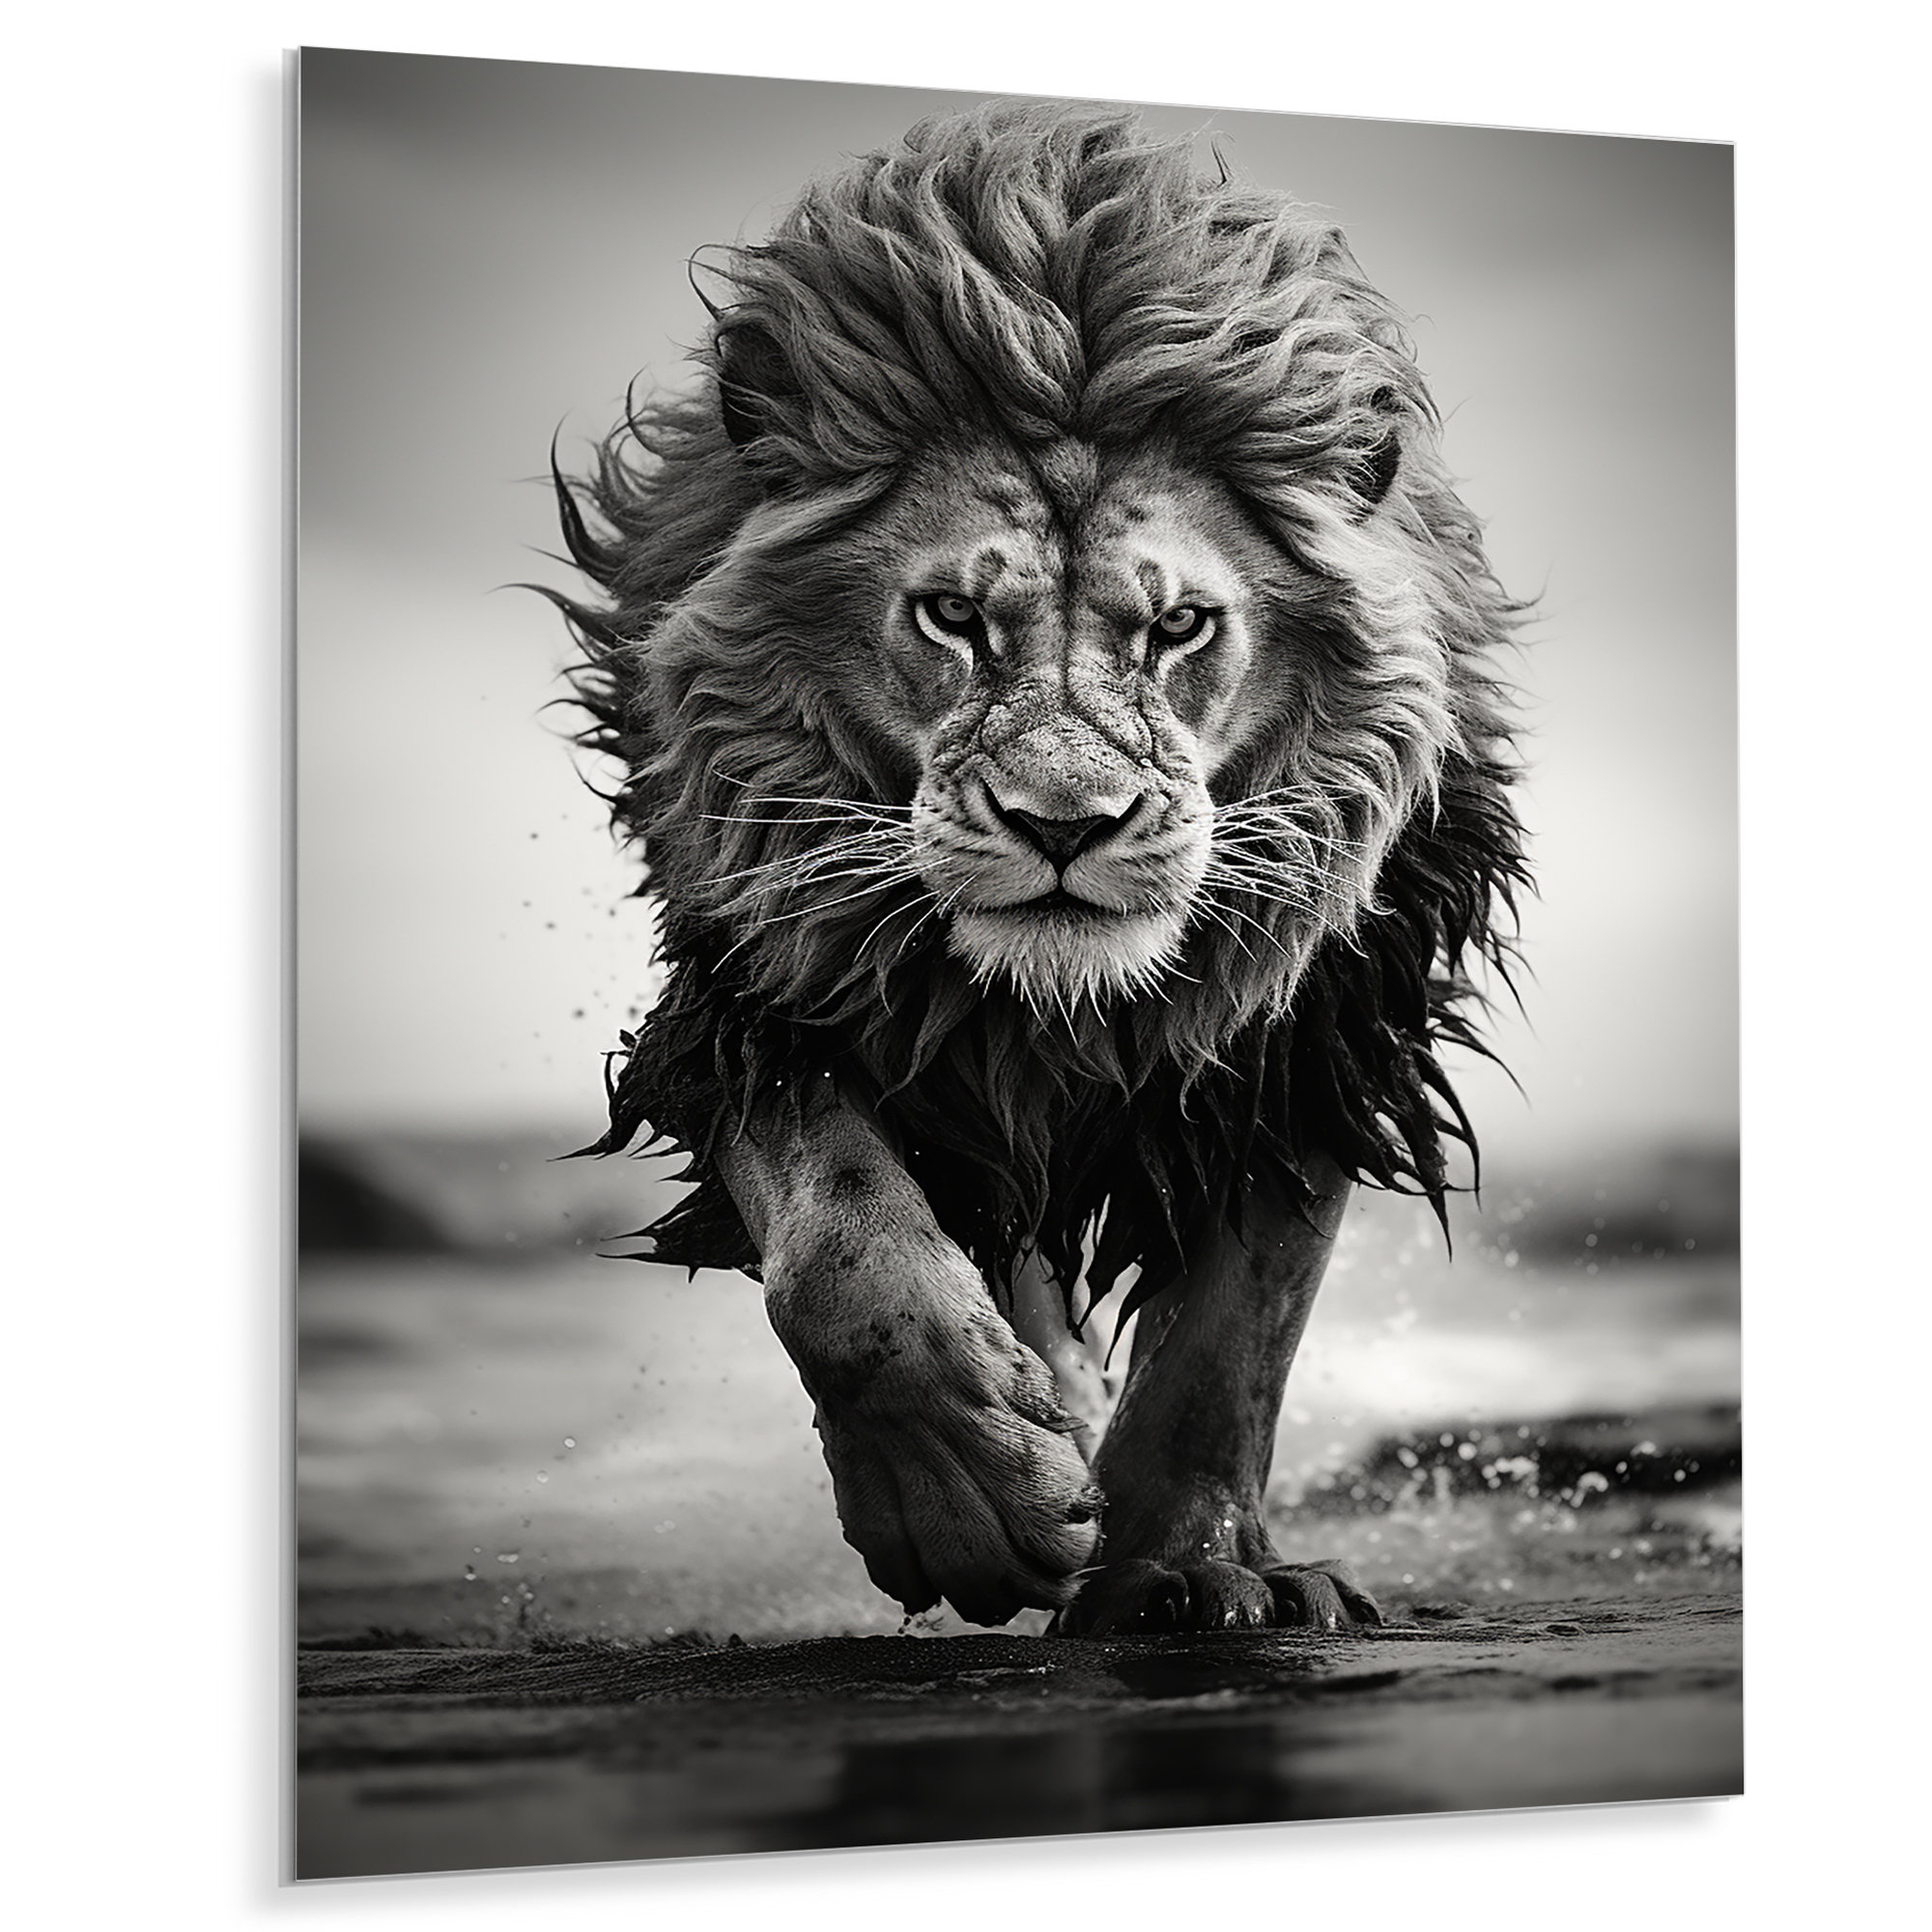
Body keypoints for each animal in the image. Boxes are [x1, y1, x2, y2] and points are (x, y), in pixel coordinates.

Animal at [548, 101, 1526, 1636]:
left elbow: (1231, 1335)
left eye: (1180, 628)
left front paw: (1182, 1566)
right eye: (954, 617)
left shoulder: (1320, 1026)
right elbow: (844, 1257)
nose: (1064, 825)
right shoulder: (760, 990)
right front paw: (965, 1504)